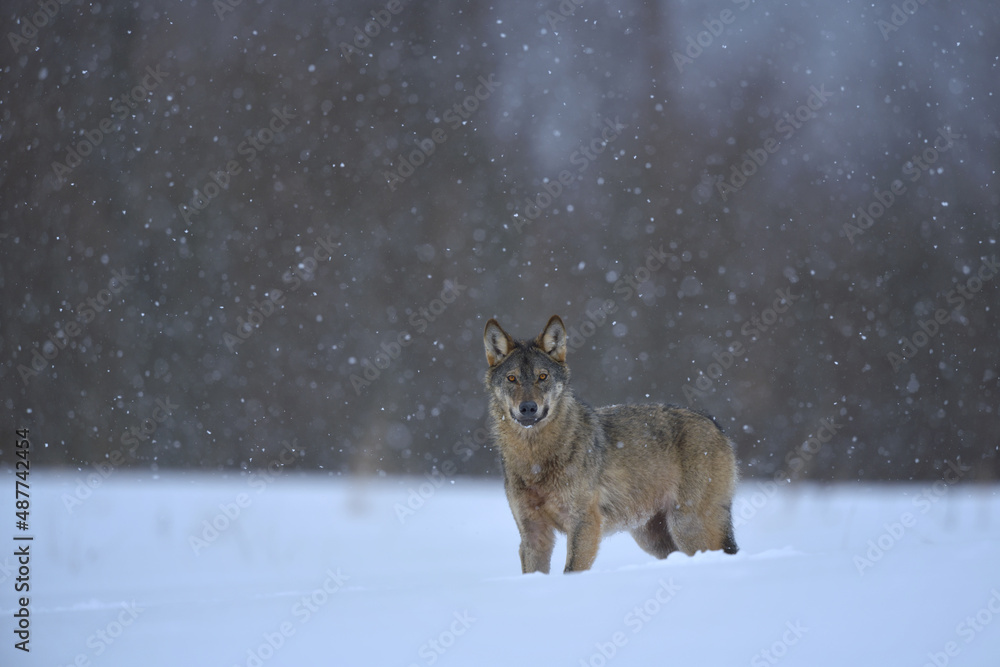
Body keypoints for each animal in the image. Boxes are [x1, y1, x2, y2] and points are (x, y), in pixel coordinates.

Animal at [483, 315, 739, 574]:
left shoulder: (585, 524)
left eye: (542, 376)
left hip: (686, 527)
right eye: (512, 378)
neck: (535, 457)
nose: (528, 408)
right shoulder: (533, 533)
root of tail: (715, 425)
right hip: (655, 540)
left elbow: (572, 570)